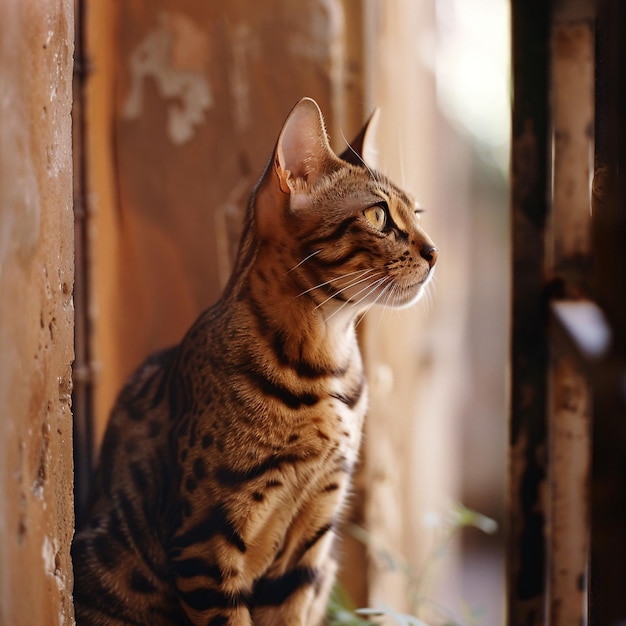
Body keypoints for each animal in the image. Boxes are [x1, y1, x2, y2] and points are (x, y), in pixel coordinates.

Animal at [72, 97, 434, 624]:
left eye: (417, 211)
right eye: (378, 216)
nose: (434, 251)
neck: (323, 365)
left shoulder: (309, 546)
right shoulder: (206, 540)